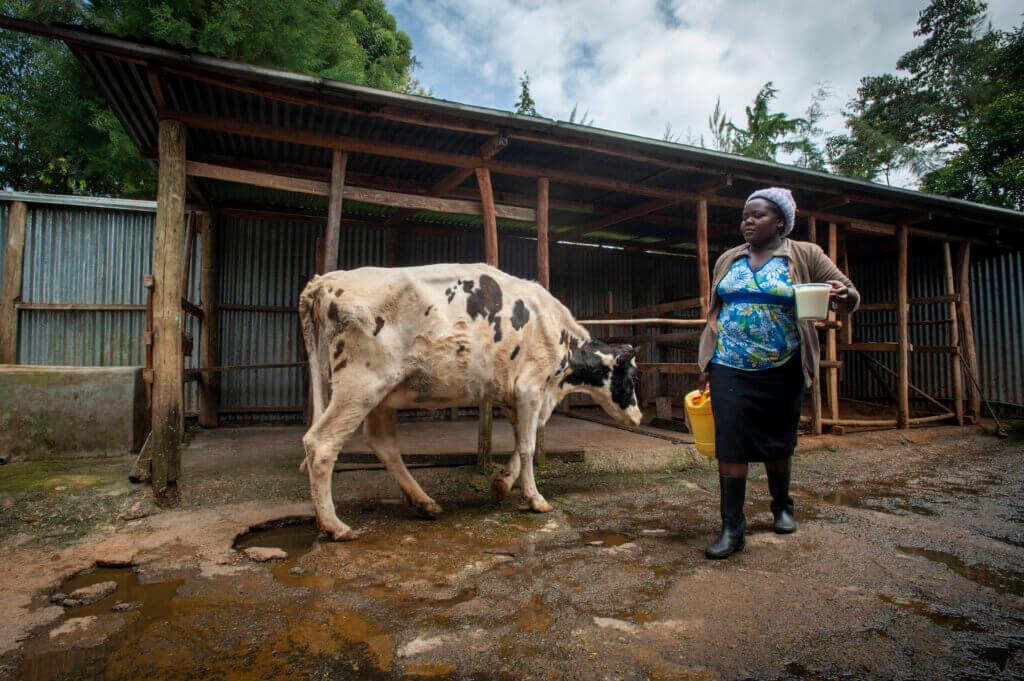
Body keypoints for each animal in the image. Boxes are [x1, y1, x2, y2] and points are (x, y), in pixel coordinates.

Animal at [299, 262, 643, 540]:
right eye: (634, 377)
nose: (639, 417)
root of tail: (326, 280)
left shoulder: (513, 395)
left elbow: (521, 442)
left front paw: (502, 484)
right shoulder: (531, 388)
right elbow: (529, 446)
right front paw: (535, 499)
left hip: (383, 394)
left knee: (382, 443)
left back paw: (424, 503)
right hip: (360, 384)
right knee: (321, 443)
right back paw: (335, 526)